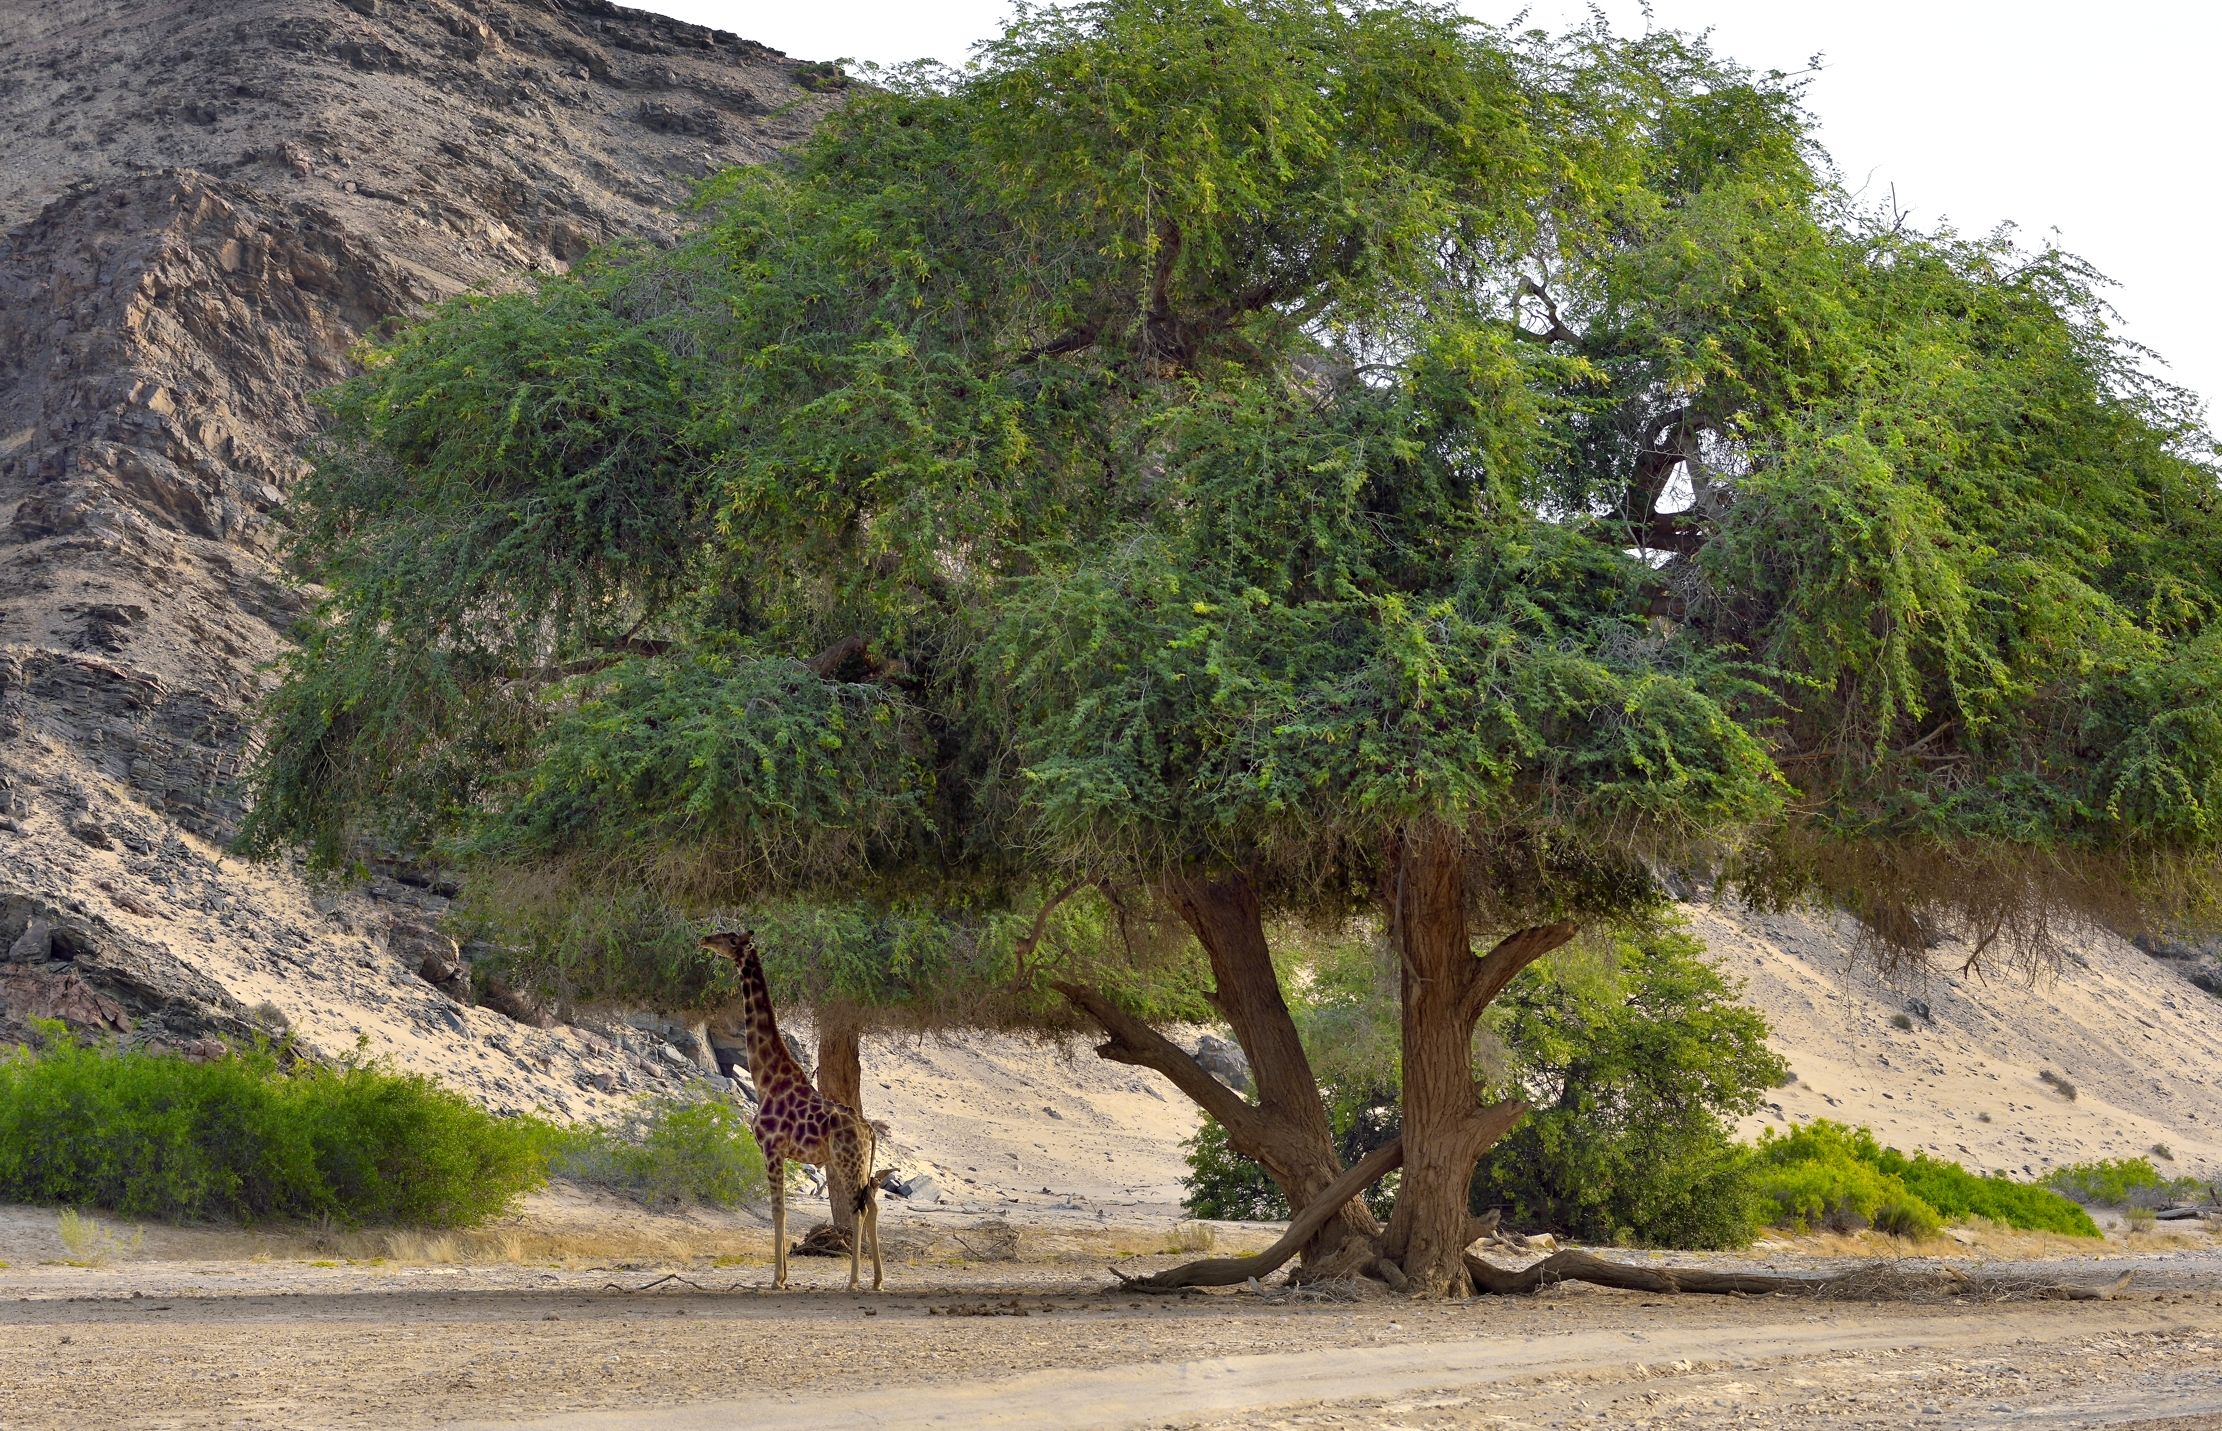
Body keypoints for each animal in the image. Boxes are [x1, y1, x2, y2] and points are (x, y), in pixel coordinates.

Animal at [701, 929, 883, 1292]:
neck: (765, 1078)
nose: (704, 940)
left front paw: (777, 1279)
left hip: (847, 1159)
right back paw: (877, 1281)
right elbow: (781, 1208)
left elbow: (777, 1211)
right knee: (871, 1202)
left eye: (730, 938)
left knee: (859, 1208)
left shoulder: (771, 1148)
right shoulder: (781, 1153)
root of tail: (868, 1129)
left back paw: (854, 1281)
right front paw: (784, 1277)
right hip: (855, 1162)